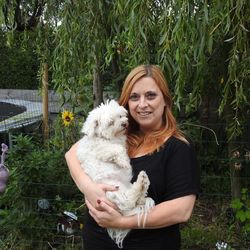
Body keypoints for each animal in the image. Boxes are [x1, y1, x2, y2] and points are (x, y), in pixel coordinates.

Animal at [76, 99, 154, 248]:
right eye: (111, 122)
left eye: (120, 116)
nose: (124, 123)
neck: (108, 138)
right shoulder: (101, 148)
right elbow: (117, 149)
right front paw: (123, 161)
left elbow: (120, 147)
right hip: (114, 190)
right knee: (129, 200)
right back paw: (141, 182)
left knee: (138, 199)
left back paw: (143, 182)